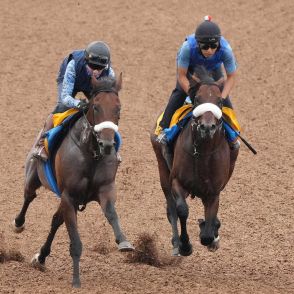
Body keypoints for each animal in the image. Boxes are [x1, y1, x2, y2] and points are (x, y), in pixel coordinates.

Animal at [13, 74, 133, 288]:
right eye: (96, 107)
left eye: (118, 108)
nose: (107, 145)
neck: (91, 153)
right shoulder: (69, 197)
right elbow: (75, 242)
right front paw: (76, 280)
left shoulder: (105, 190)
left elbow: (112, 214)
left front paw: (124, 241)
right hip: (34, 175)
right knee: (29, 196)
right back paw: (19, 223)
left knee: (55, 221)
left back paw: (41, 257)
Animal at [152, 68, 239, 256]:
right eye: (198, 99)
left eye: (219, 101)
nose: (207, 127)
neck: (203, 153)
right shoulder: (177, 182)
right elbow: (182, 211)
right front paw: (185, 245)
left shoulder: (213, 192)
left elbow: (208, 231)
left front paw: (210, 232)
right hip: (162, 168)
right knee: (171, 208)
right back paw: (176, 242)